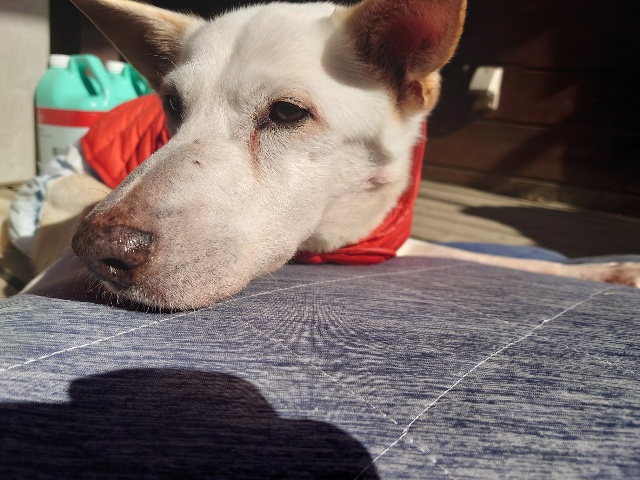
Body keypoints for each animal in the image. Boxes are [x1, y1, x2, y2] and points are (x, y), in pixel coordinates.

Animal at [17, 0, 639, 309]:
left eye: (288, 113)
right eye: (171, 104)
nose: (97, 251)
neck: (333, 229)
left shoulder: (391, 242)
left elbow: (493, 259)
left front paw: (610, 271)